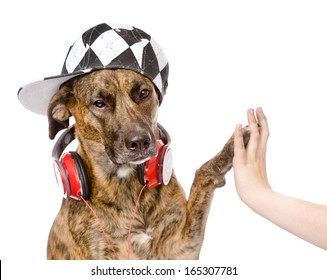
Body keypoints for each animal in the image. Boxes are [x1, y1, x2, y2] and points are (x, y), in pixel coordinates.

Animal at [46, 68, 251, 260]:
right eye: (99, 103)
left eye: (144, 93)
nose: (139, 142)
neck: (127, 184)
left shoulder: (181, 247)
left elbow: (202, 175)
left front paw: (233, 146)